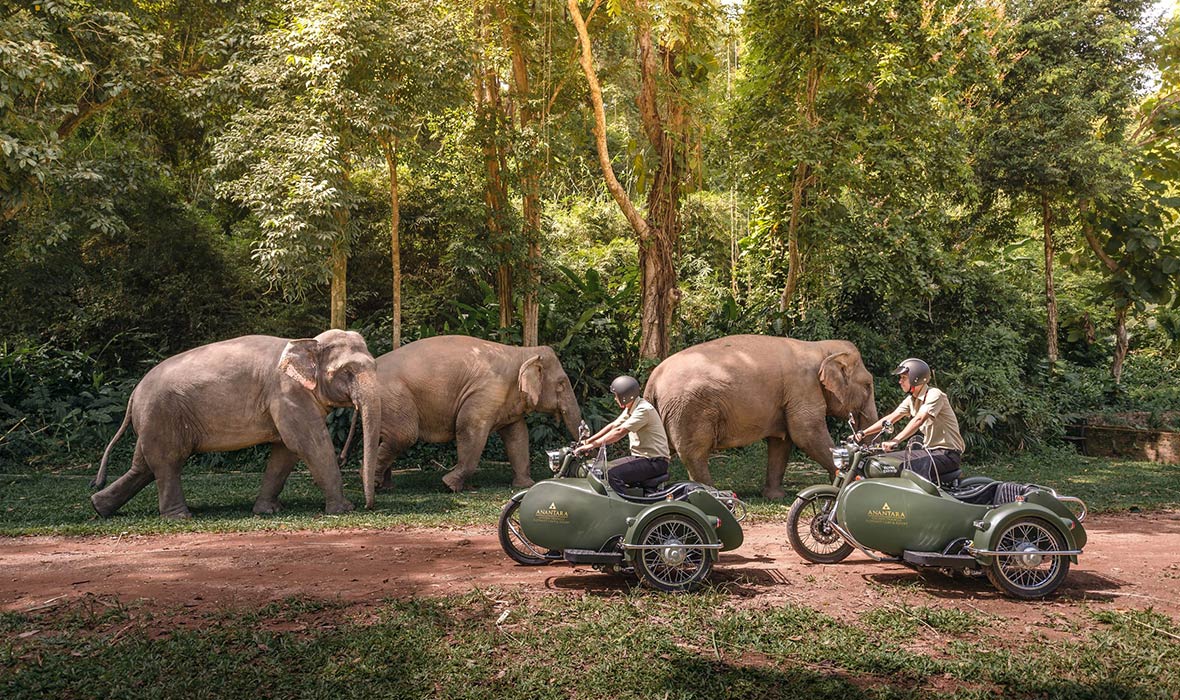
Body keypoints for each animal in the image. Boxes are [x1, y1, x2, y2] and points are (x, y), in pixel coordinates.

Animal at [90, 330, 382, 519]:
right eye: (347, 372)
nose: (369, 506)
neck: (306, 342)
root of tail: (134, 394)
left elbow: (285, 451)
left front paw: (267, 510)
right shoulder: (287, 393)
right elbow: (309, 444)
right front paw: (343, 509)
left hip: (152, 421)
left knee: (143, 466)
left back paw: (98, 506)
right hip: (161, 415)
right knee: (167, 462)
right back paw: (180, 517)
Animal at [370, 335, 583, 500]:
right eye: (561, 384)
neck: (521, 352)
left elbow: (518, 436)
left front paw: (525, 485)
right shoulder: (485, 394)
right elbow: (469, 428)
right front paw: (449, 485)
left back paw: (386, 486)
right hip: (392, 397)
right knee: (403, 436)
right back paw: (376, 485)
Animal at [645, 335, 878, 499]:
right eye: (868, 385)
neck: (820, 348)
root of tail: (653, 379)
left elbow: (781, 442)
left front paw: (775, 496)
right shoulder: (803, 387)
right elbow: (806, 434)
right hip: (690, 410)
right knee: (695, 452)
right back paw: (712, 494)